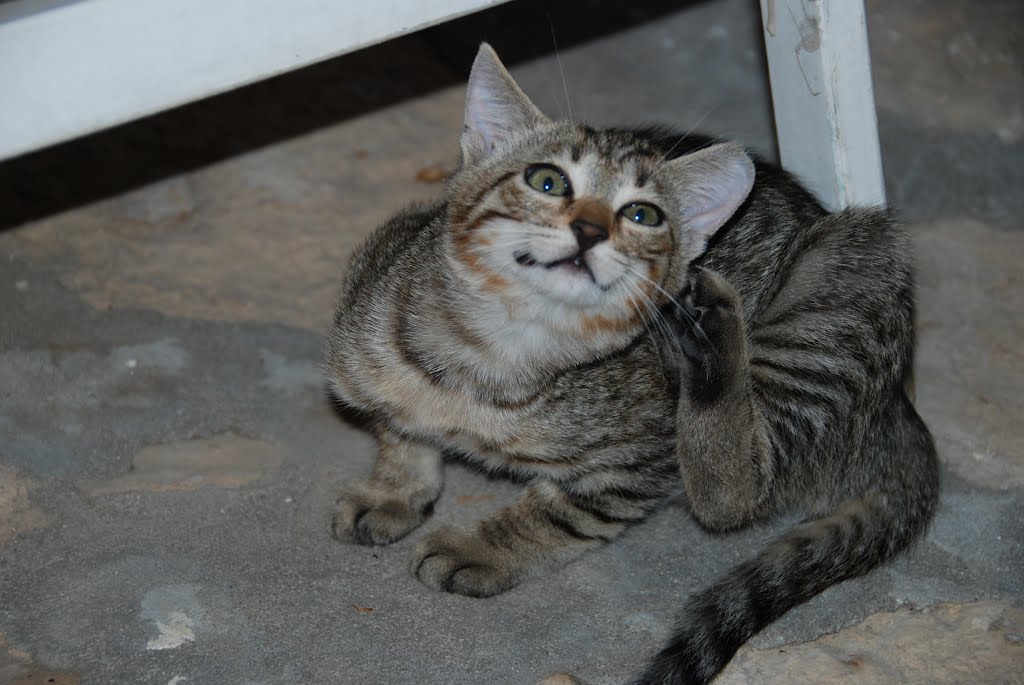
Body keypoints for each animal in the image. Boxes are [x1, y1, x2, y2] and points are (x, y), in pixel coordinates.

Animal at [323, 44, 937, 683]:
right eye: (546, 180)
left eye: (643, 215)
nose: (590, 229)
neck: (490, 354)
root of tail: (898, 407)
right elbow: (396, 426)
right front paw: (394, 488)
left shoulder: (640, 464)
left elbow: (561, 513)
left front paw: (481, 547)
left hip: (845, 272)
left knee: (735, 490)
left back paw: (713, 333)